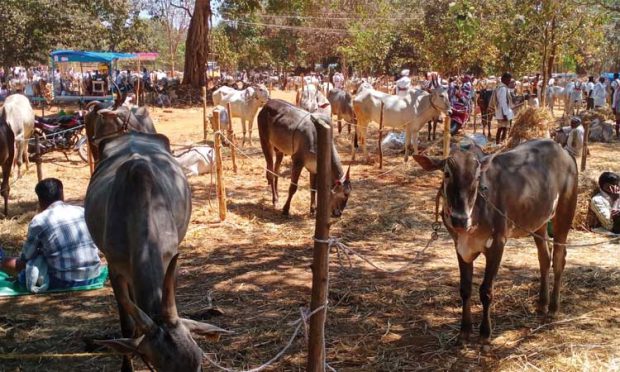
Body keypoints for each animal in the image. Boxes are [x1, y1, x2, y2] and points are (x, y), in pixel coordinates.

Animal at [414, 139, 580, 346]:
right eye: (446, 173)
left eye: (477, 177)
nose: (460, 219)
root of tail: (563, 150)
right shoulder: (460, 246)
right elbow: (465, 289)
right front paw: (464, 332)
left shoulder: (497, 244)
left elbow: (486, 291)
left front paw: (485, 334)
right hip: (538, 223)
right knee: (544, 257)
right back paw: (542, 304)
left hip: (564, 214)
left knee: (558, 258)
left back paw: (553, 309)